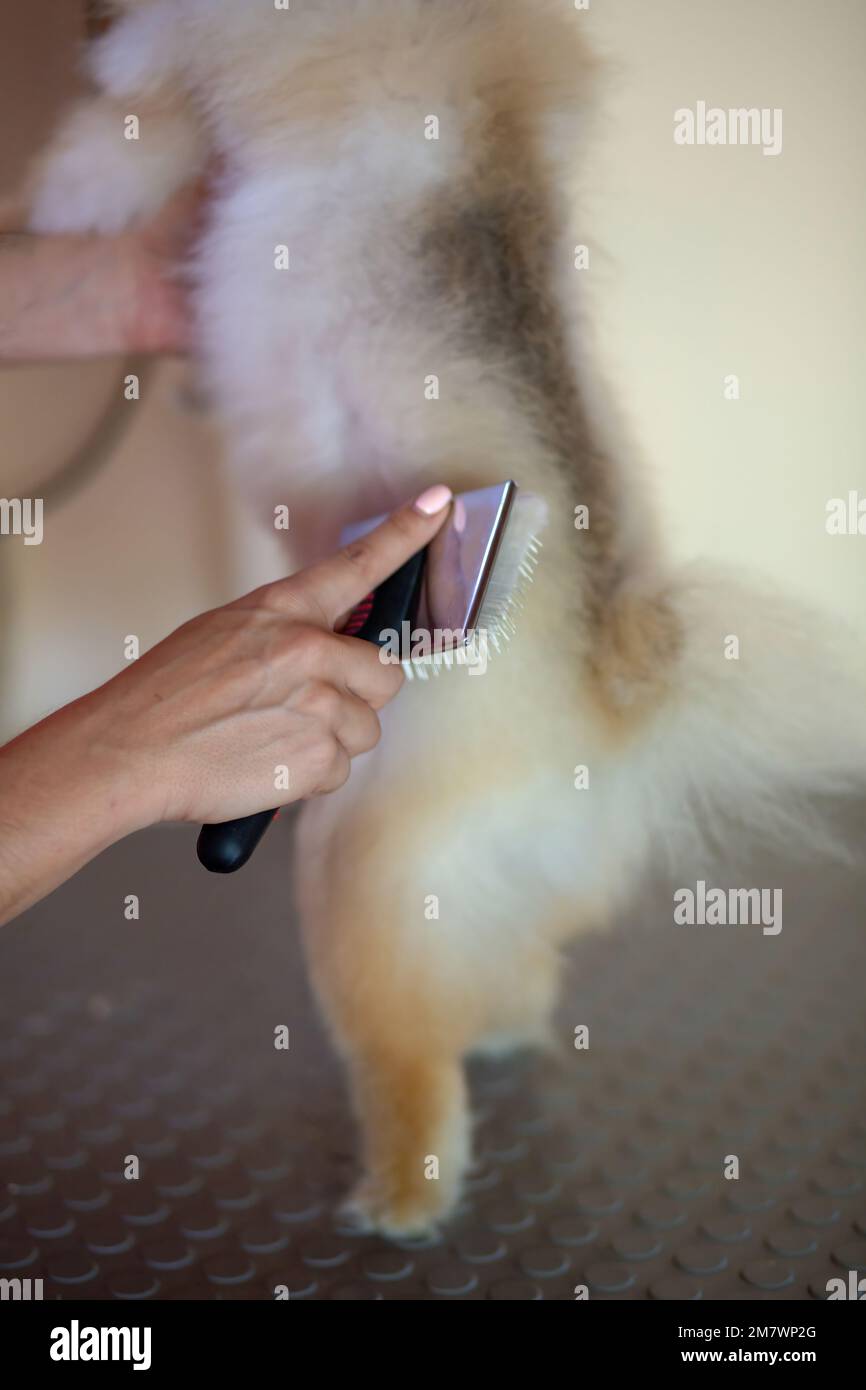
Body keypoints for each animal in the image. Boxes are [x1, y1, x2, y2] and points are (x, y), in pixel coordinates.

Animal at [27, 2, 866, 1239]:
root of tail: (615, 721)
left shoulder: (219, 59)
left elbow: (137, 114)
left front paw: (55, 192)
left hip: (359, 868)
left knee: (409, 1055)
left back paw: (400, 1193)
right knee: (513, 972)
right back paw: (502, 1033)